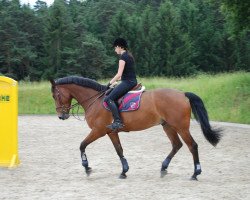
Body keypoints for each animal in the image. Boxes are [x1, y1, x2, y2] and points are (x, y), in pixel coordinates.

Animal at [49, 76, 222, 180]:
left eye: (55, 95)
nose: (61, 116)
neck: (95, 100)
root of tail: (183, 94)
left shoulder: (98, 131)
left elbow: (82, 145)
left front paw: (87, 167)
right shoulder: (111, 132)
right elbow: (119, 150)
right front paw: (124, 171)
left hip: (181, 127)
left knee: (192, 146)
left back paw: (195, 173)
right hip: (168, 126)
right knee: (177, 145)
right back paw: (163, 168)